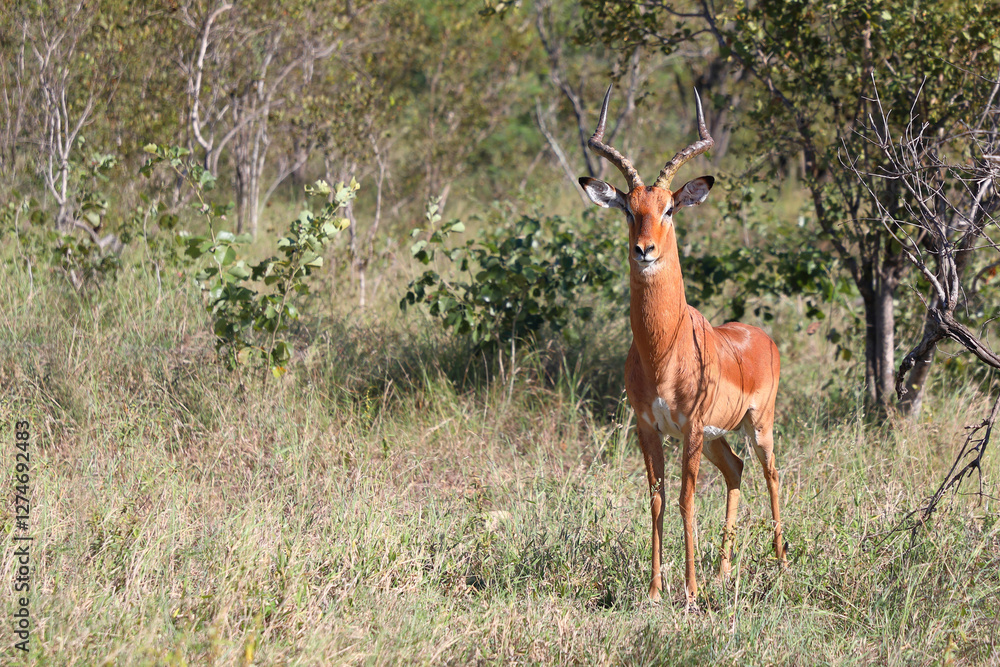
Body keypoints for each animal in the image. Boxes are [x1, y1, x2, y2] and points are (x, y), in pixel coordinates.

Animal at [579, 85, 786, 608]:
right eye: (629, 208)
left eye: (669, 208)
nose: (644, 250)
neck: (661, 353)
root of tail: (762, 337)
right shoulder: (648, 427)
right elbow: (656, 499)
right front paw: (655, 590)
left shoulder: (690, 428)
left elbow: (686, 501)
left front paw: (690, 592)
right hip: (718, 439)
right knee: (736, 470)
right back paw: (723, 572)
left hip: (758, 425)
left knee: (771, 474)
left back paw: (781, 563)